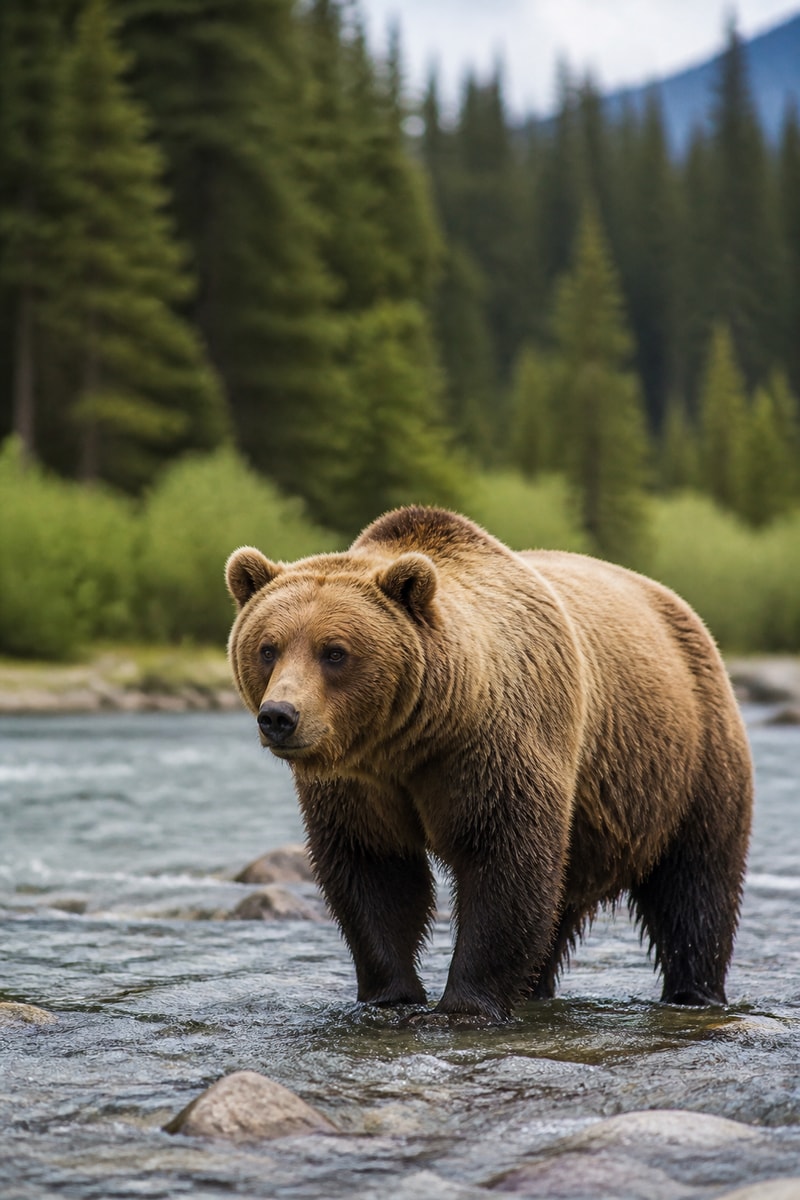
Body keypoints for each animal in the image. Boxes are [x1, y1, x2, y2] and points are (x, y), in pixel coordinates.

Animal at [226, 506, 753, 1023]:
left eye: (334, 651)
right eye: (267, 648)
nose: (279, 716)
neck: (410, 742)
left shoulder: (493, 748)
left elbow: (504, 860)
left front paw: (464, 1006)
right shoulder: (359, 786)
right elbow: (374, 871)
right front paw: (390, 995)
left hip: (686, 759)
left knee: (696, 888)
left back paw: (694, 992)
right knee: (560, 907)